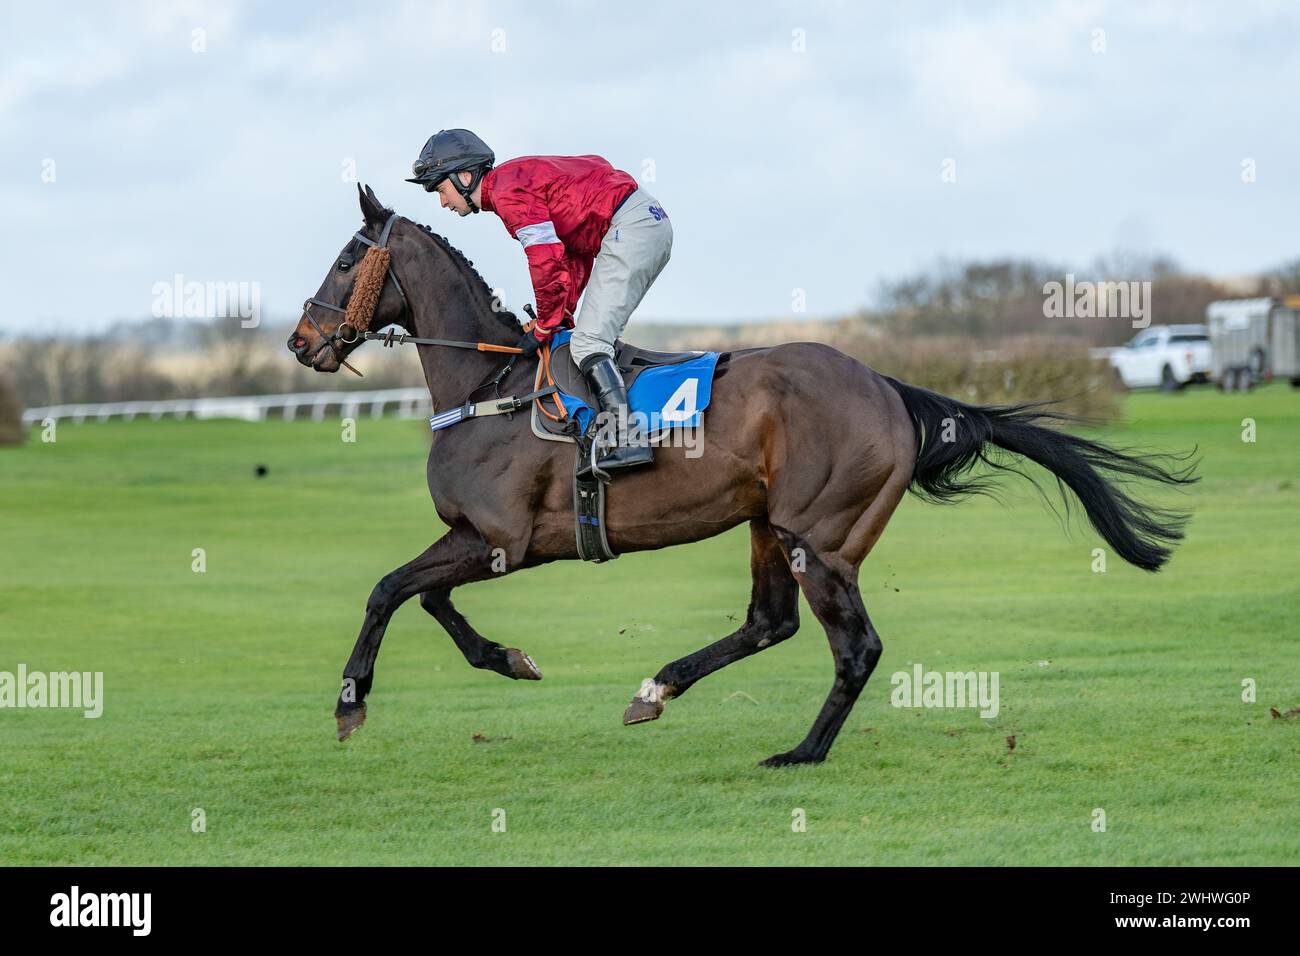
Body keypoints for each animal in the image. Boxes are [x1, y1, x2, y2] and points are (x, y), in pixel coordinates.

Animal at [289, 184, 1190, 770]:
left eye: (344, 261)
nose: (301, 343)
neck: (490, 386)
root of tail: (887, 387)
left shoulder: (501, 539)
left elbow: (389, 589)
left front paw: (350, 703)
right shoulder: (481, 539)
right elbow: (425, 597)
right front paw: (508, 658)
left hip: (817, 535)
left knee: (854, 647)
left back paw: (802, 752)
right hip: (768, 522)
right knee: (769, 623)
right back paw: (656, 690)